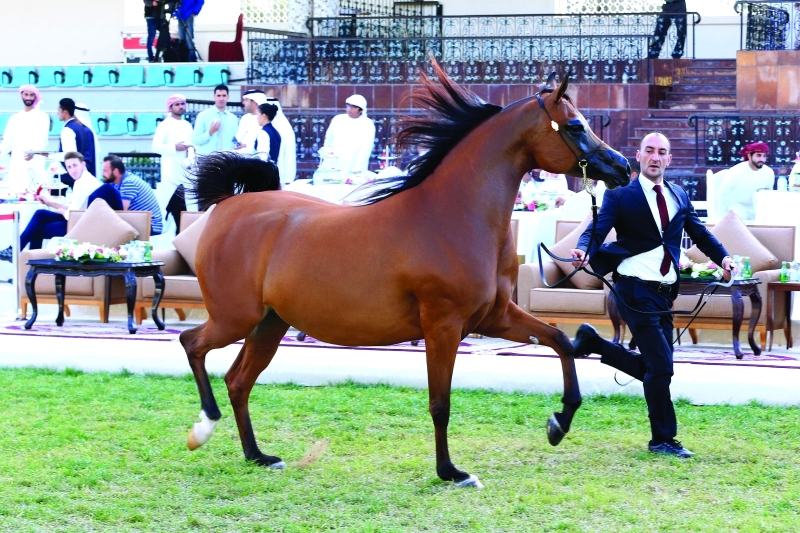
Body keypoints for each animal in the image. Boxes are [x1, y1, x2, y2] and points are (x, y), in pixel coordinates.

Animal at [183, 61, 632, 486]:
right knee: (194, 344)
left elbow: (561, 341)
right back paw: (204, 426)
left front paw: (558, 424)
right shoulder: (443, 325)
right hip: (235, 318)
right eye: (575, 126)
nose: (623, 168)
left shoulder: (494, 316)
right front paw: (452, 472)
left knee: (238, 380)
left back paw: (258, 455)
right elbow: (440, 402)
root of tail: (227, 205)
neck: (454, 215)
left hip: (270, 324)